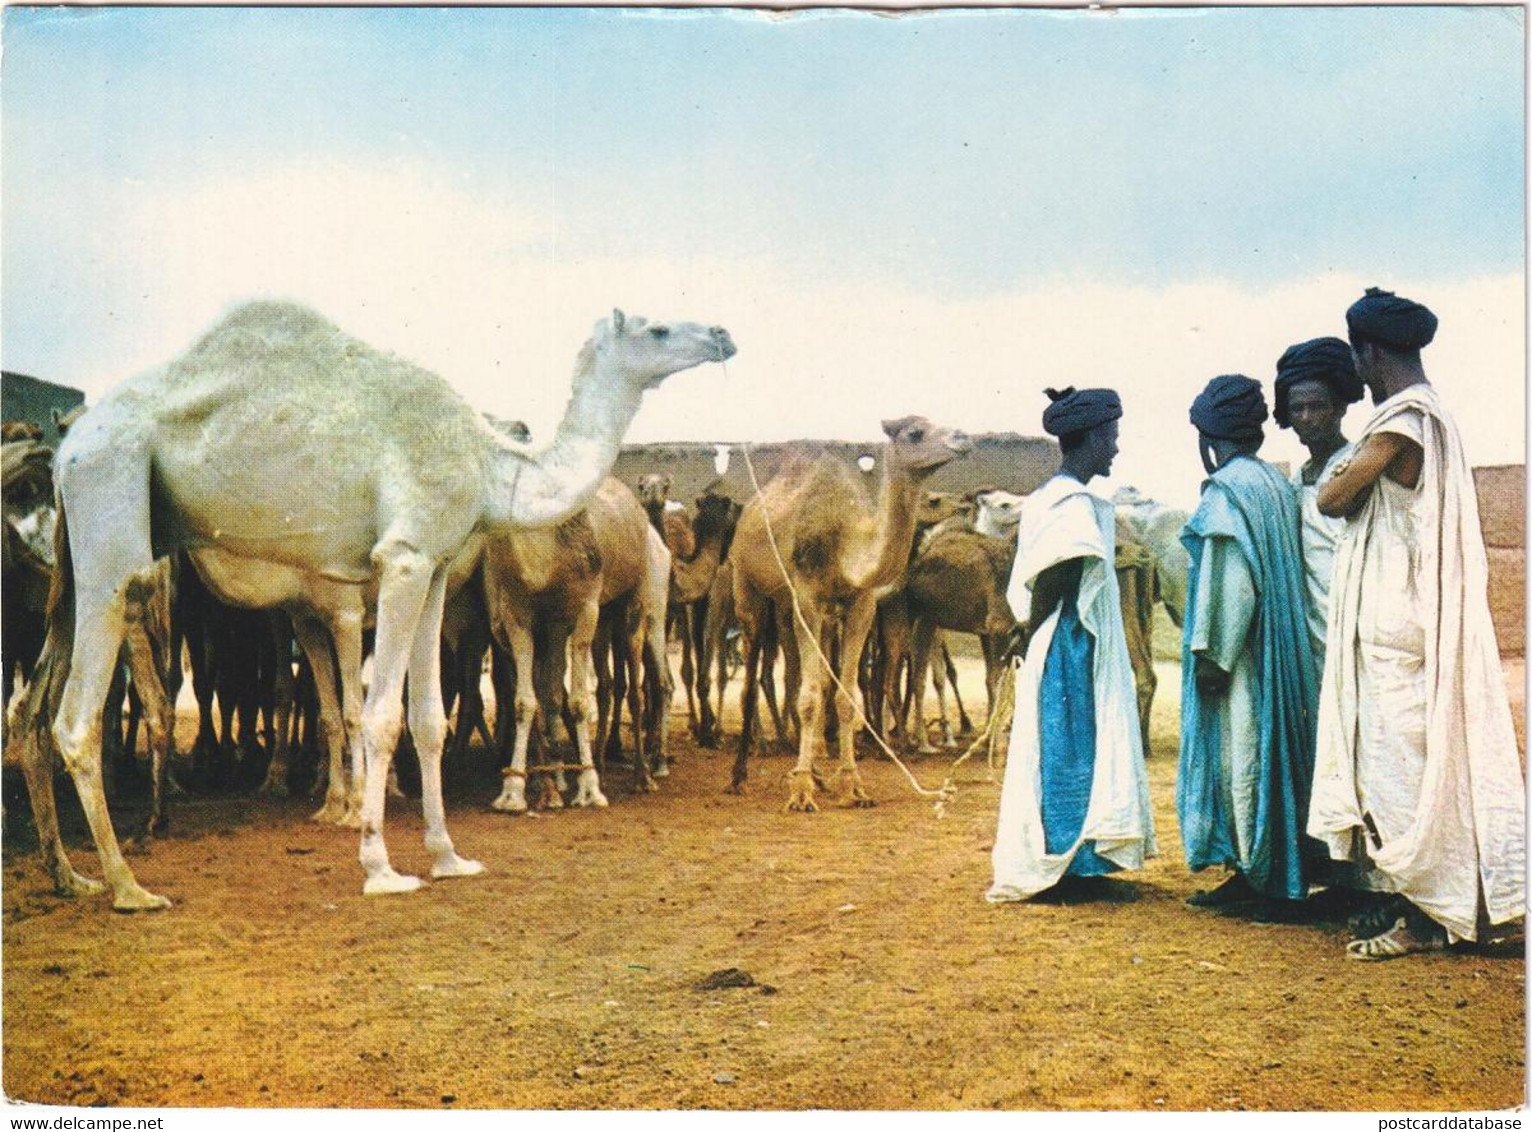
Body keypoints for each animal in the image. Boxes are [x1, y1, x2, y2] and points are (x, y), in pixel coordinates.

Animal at [18, 301, 735, 912]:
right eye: (657, 328)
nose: (723, 334)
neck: (489, 462)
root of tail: (69, 449)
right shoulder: (404, 557)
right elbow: (381, 715)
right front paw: (380, 866)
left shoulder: (437, 567)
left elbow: (427, 719)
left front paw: (448, 858)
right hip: (112, 512)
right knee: (76, 715)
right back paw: (128, 886)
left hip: (77, 556)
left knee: (28, 710)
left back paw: (72, 876)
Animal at [729, 419, 968, 808]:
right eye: (915, 433)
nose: (964, 438)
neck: (845, 542)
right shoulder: (807, 599)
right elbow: (809, 697)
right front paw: (801, 792)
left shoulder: (861, 605)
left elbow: (843, 696)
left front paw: (851, 786)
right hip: (748, 587)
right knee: (751, 678)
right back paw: (739, 775)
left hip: (797, 607)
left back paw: (816, 773)